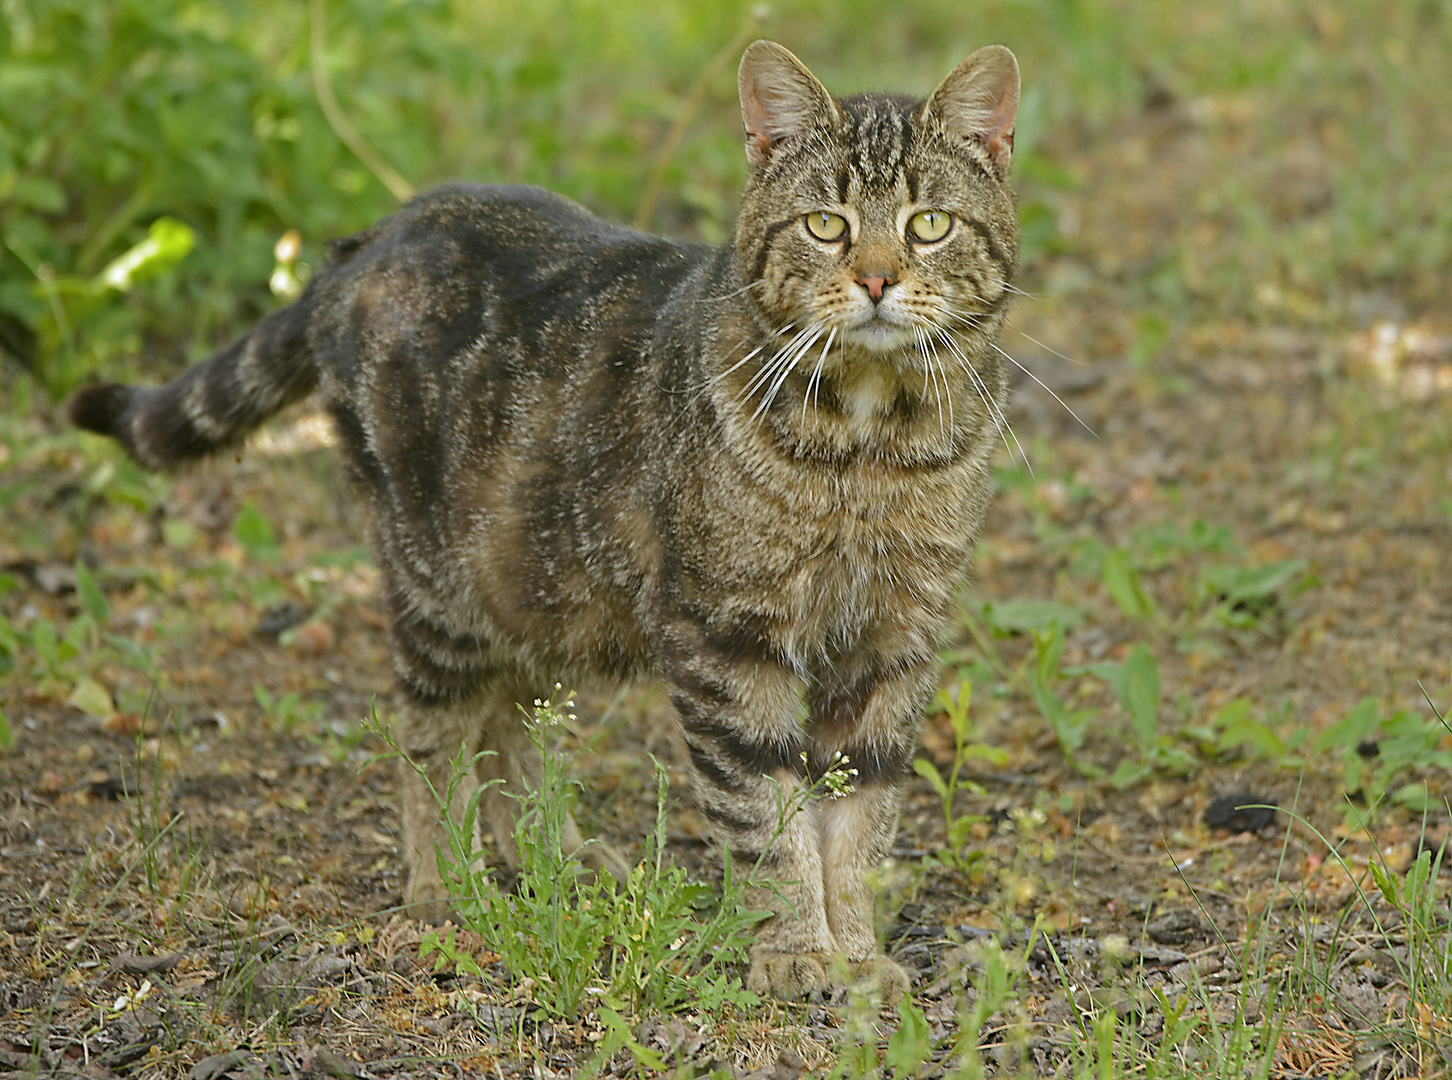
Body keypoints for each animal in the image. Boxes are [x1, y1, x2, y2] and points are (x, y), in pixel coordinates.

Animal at [68, 42, 1022, 1004]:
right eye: (826, 224)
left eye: (930, 224)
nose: (876, 278)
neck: (871, 443)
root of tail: (372, 236)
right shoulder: (727, 639)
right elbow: (766, 815)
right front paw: (796, 948)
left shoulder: (894, 644)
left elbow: (859, 822)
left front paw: (856, 953)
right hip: (440, 586)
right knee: (434, 736)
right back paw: (444, 884)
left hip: (540, 580)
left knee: (509, 720)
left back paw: (551, 853)